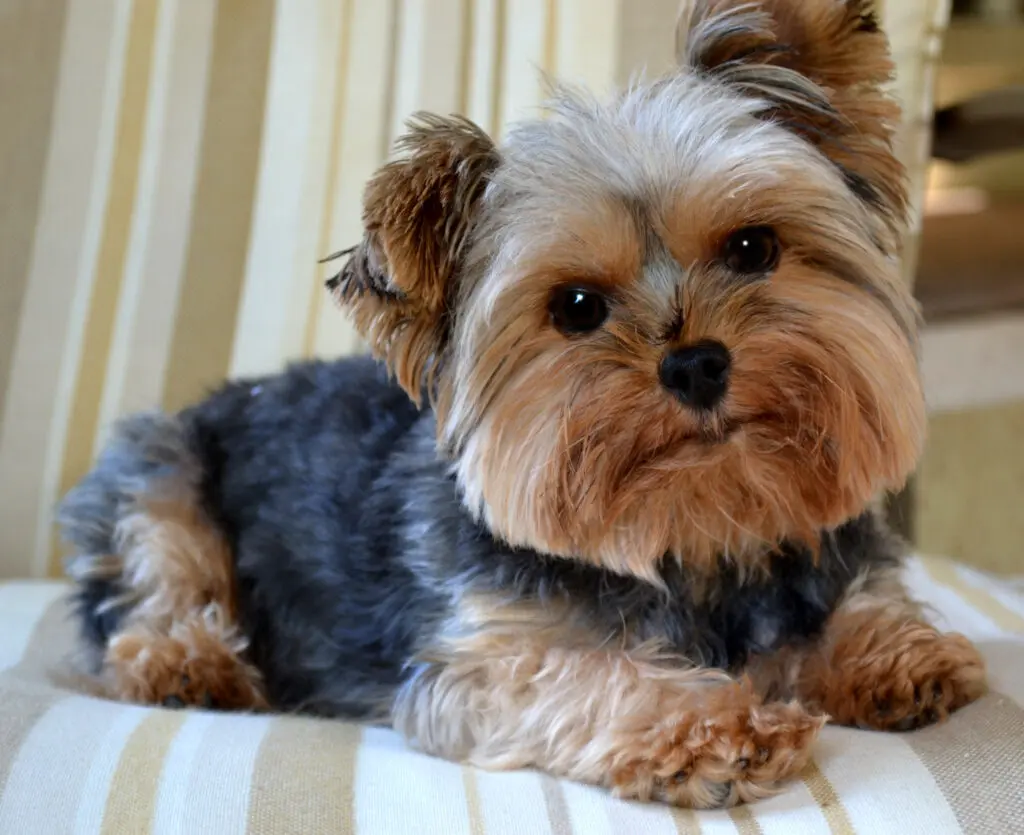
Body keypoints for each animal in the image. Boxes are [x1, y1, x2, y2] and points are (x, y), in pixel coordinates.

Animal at [59, 0, 987, 811]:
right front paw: (708, 725)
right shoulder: (480, 655)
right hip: (156, 465)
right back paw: (188, 660)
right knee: (150, 579)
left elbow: (853, 607)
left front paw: (891, 652)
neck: (698, 536)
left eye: (753, 247)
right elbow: (583, 669)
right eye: (575, 307)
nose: (695, 362)